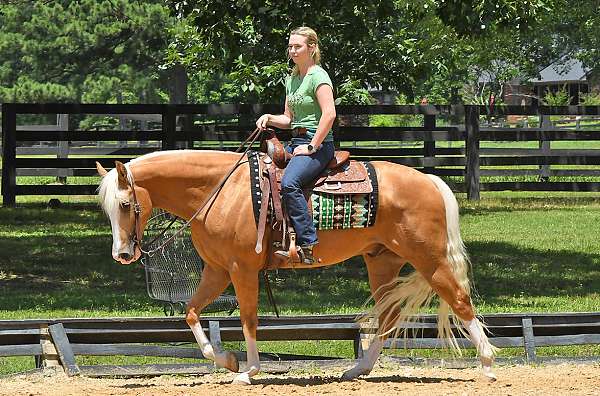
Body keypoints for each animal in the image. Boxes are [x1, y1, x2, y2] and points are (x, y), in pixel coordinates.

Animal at [97, 148, 496, 384]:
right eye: (108, 207)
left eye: (124, 204)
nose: (122, 254)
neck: (218, 190)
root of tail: (428, 179)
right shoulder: (217, 270)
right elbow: (192, 312)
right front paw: (227, 360)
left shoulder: (242, 269)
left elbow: (249, 319)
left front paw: (249, 371)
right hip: (383, 262)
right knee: (388, 316)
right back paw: (358, 369)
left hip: (430, 258)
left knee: (460, 302)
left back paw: (488, 364)